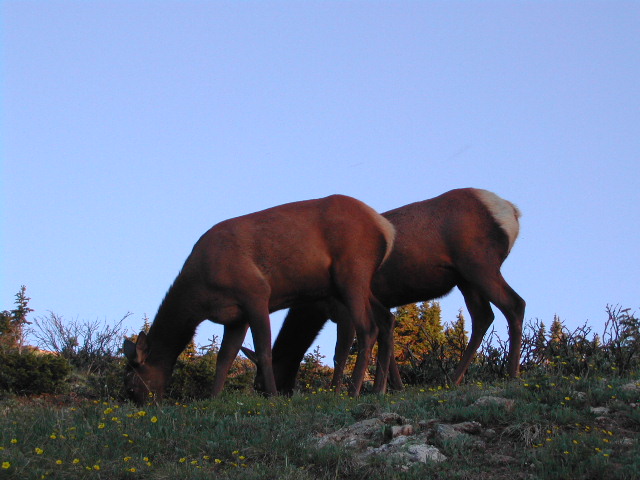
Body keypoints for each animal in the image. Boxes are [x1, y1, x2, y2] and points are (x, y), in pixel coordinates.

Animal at [121, 193, 396, 404]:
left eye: (131, 385)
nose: (142, 406)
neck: (201, 294)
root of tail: (385, 228)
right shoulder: (235, 318)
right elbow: (224, 359)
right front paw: (213, 398)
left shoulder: (255, 294)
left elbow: (264, 351)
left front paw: (273, 396)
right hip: (352, 286)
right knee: (386, 319)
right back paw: (378, 390)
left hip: (352, 273)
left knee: (368, 328)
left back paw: (353, 392)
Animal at [248, 188, 524, 394]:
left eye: (259, 382)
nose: (266, 393)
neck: (315, 305)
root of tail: (511, 211)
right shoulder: (381, 303)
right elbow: (388, 344)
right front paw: (393, 387)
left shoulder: (343, 309)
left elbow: (341, 352)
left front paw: (336, 391)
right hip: (465, 279)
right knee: (483, 316)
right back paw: (452, 379)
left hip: (479, 264)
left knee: (514, 304)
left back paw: (511, 375)